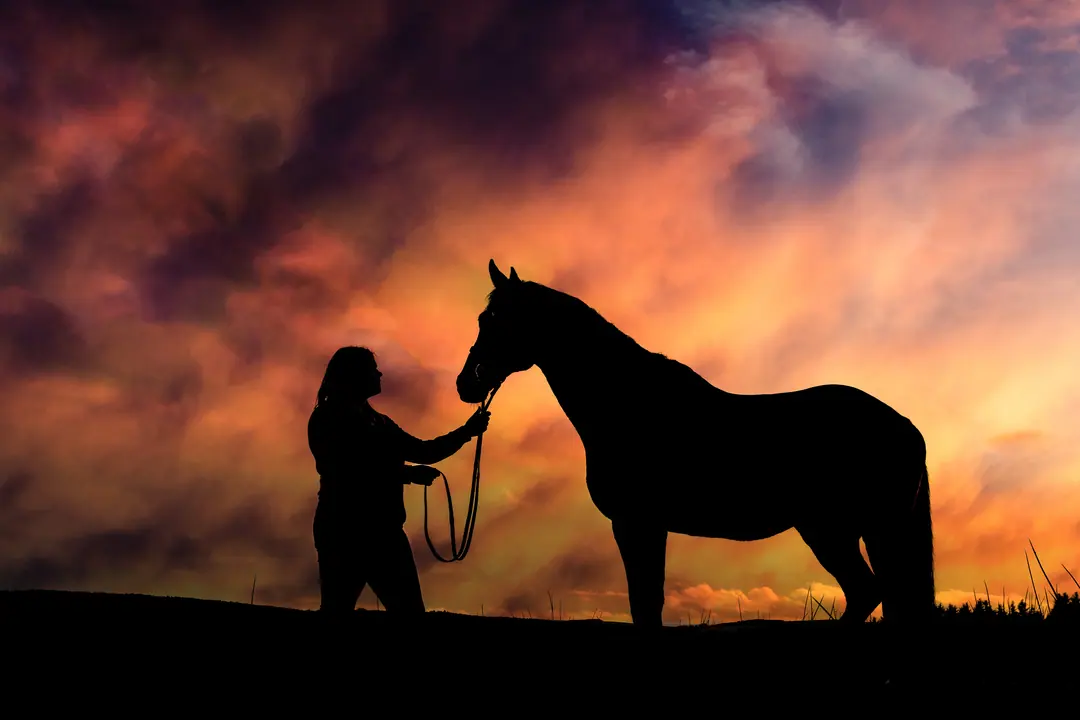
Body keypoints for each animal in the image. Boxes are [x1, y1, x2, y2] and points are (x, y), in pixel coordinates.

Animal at [456, 259, 935, 628]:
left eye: (498, 320)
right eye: (481, 319)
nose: (466, 383)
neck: (626, 401)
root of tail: (906, 425)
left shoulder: (636, 521)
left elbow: (645, 604)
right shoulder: (645, 524)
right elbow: (647, 603)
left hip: (842, 528)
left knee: (871, 592)